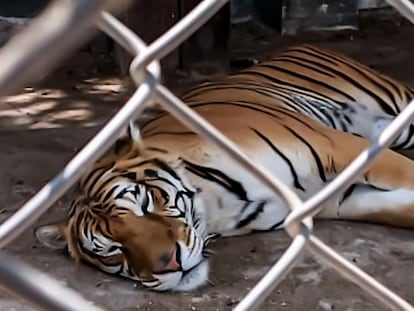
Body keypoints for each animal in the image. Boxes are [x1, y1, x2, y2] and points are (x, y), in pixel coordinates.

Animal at [33, 44, 414, 292]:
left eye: (144, 204)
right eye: (112, 248)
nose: (169, 264)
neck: (218, 206)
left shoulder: (340, 148)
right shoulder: (337, 200)